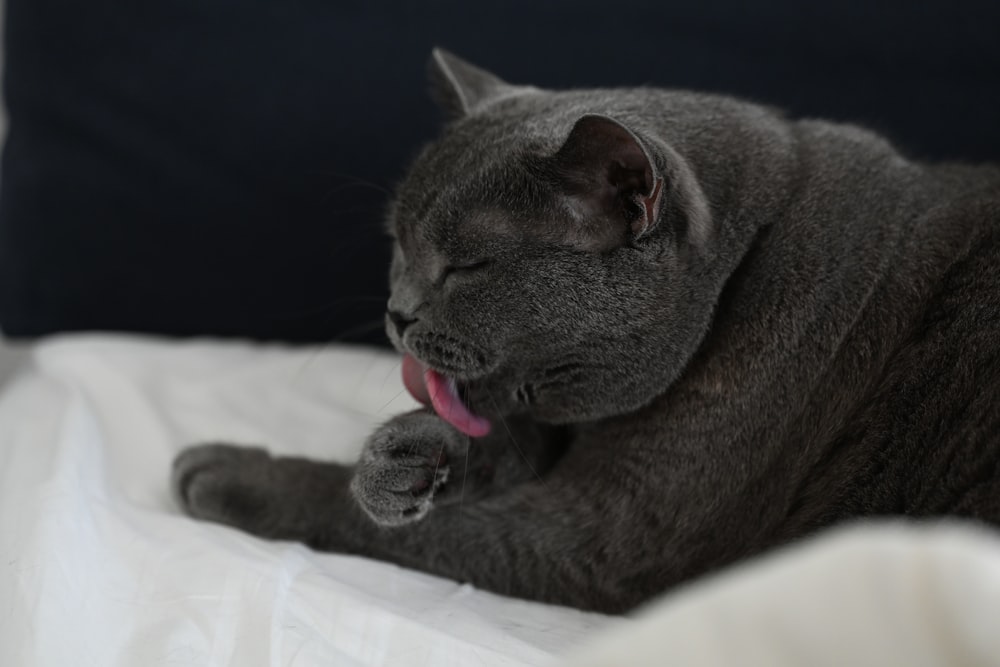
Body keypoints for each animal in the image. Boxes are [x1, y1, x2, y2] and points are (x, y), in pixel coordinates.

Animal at [174, 48, 1000, 616]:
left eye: (467, 265)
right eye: (397, 245)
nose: (396, 311)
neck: (744, 273)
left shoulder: (604, 543)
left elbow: (404, 527)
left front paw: (229, 472)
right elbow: (493, 441)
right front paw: (406, 459)